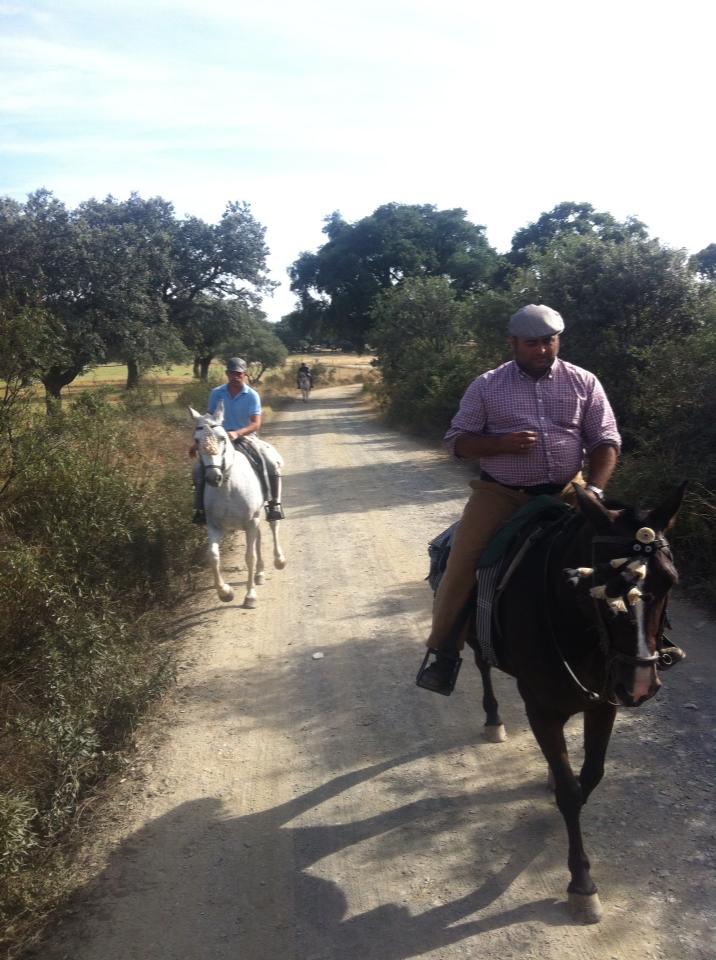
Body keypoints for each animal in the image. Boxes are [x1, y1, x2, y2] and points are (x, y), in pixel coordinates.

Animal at [190, 406, 286, 608]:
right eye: (196, 440)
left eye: (222, 438)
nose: (213, 478)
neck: (227, 487)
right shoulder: (215, 526)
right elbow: (213, 556)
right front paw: (225, 593)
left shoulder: (250, 522)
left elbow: (249, 557)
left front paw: (250, 596)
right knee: (259, 537)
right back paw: (260, 573)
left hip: (268, 503)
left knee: (273, 526)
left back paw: (279, 561)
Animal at [472, 488, 684, 924]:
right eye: (603, 586)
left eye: (671, 581)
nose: (640, 684)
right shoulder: (541, 711)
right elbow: (570, 792)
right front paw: (582, 884)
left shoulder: (605, 703)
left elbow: (590, 775)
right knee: (482, 666)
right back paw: (493, 718)